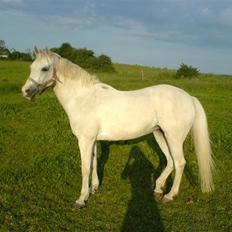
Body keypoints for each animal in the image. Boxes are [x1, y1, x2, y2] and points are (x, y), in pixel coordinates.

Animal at [21, 47, 214, 208]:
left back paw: (169, 195)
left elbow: (85, 167)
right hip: (160, 135)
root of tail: (189, 97)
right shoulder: (92, 140)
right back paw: (158, 189)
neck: (84, 98)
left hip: (173, 137)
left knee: (180, 163)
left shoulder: (85, 140)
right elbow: (93, 163)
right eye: (31, 67)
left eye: (45, 68)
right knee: (171, 161)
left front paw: (81, 199)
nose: (26, 92)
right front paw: (93, 188)